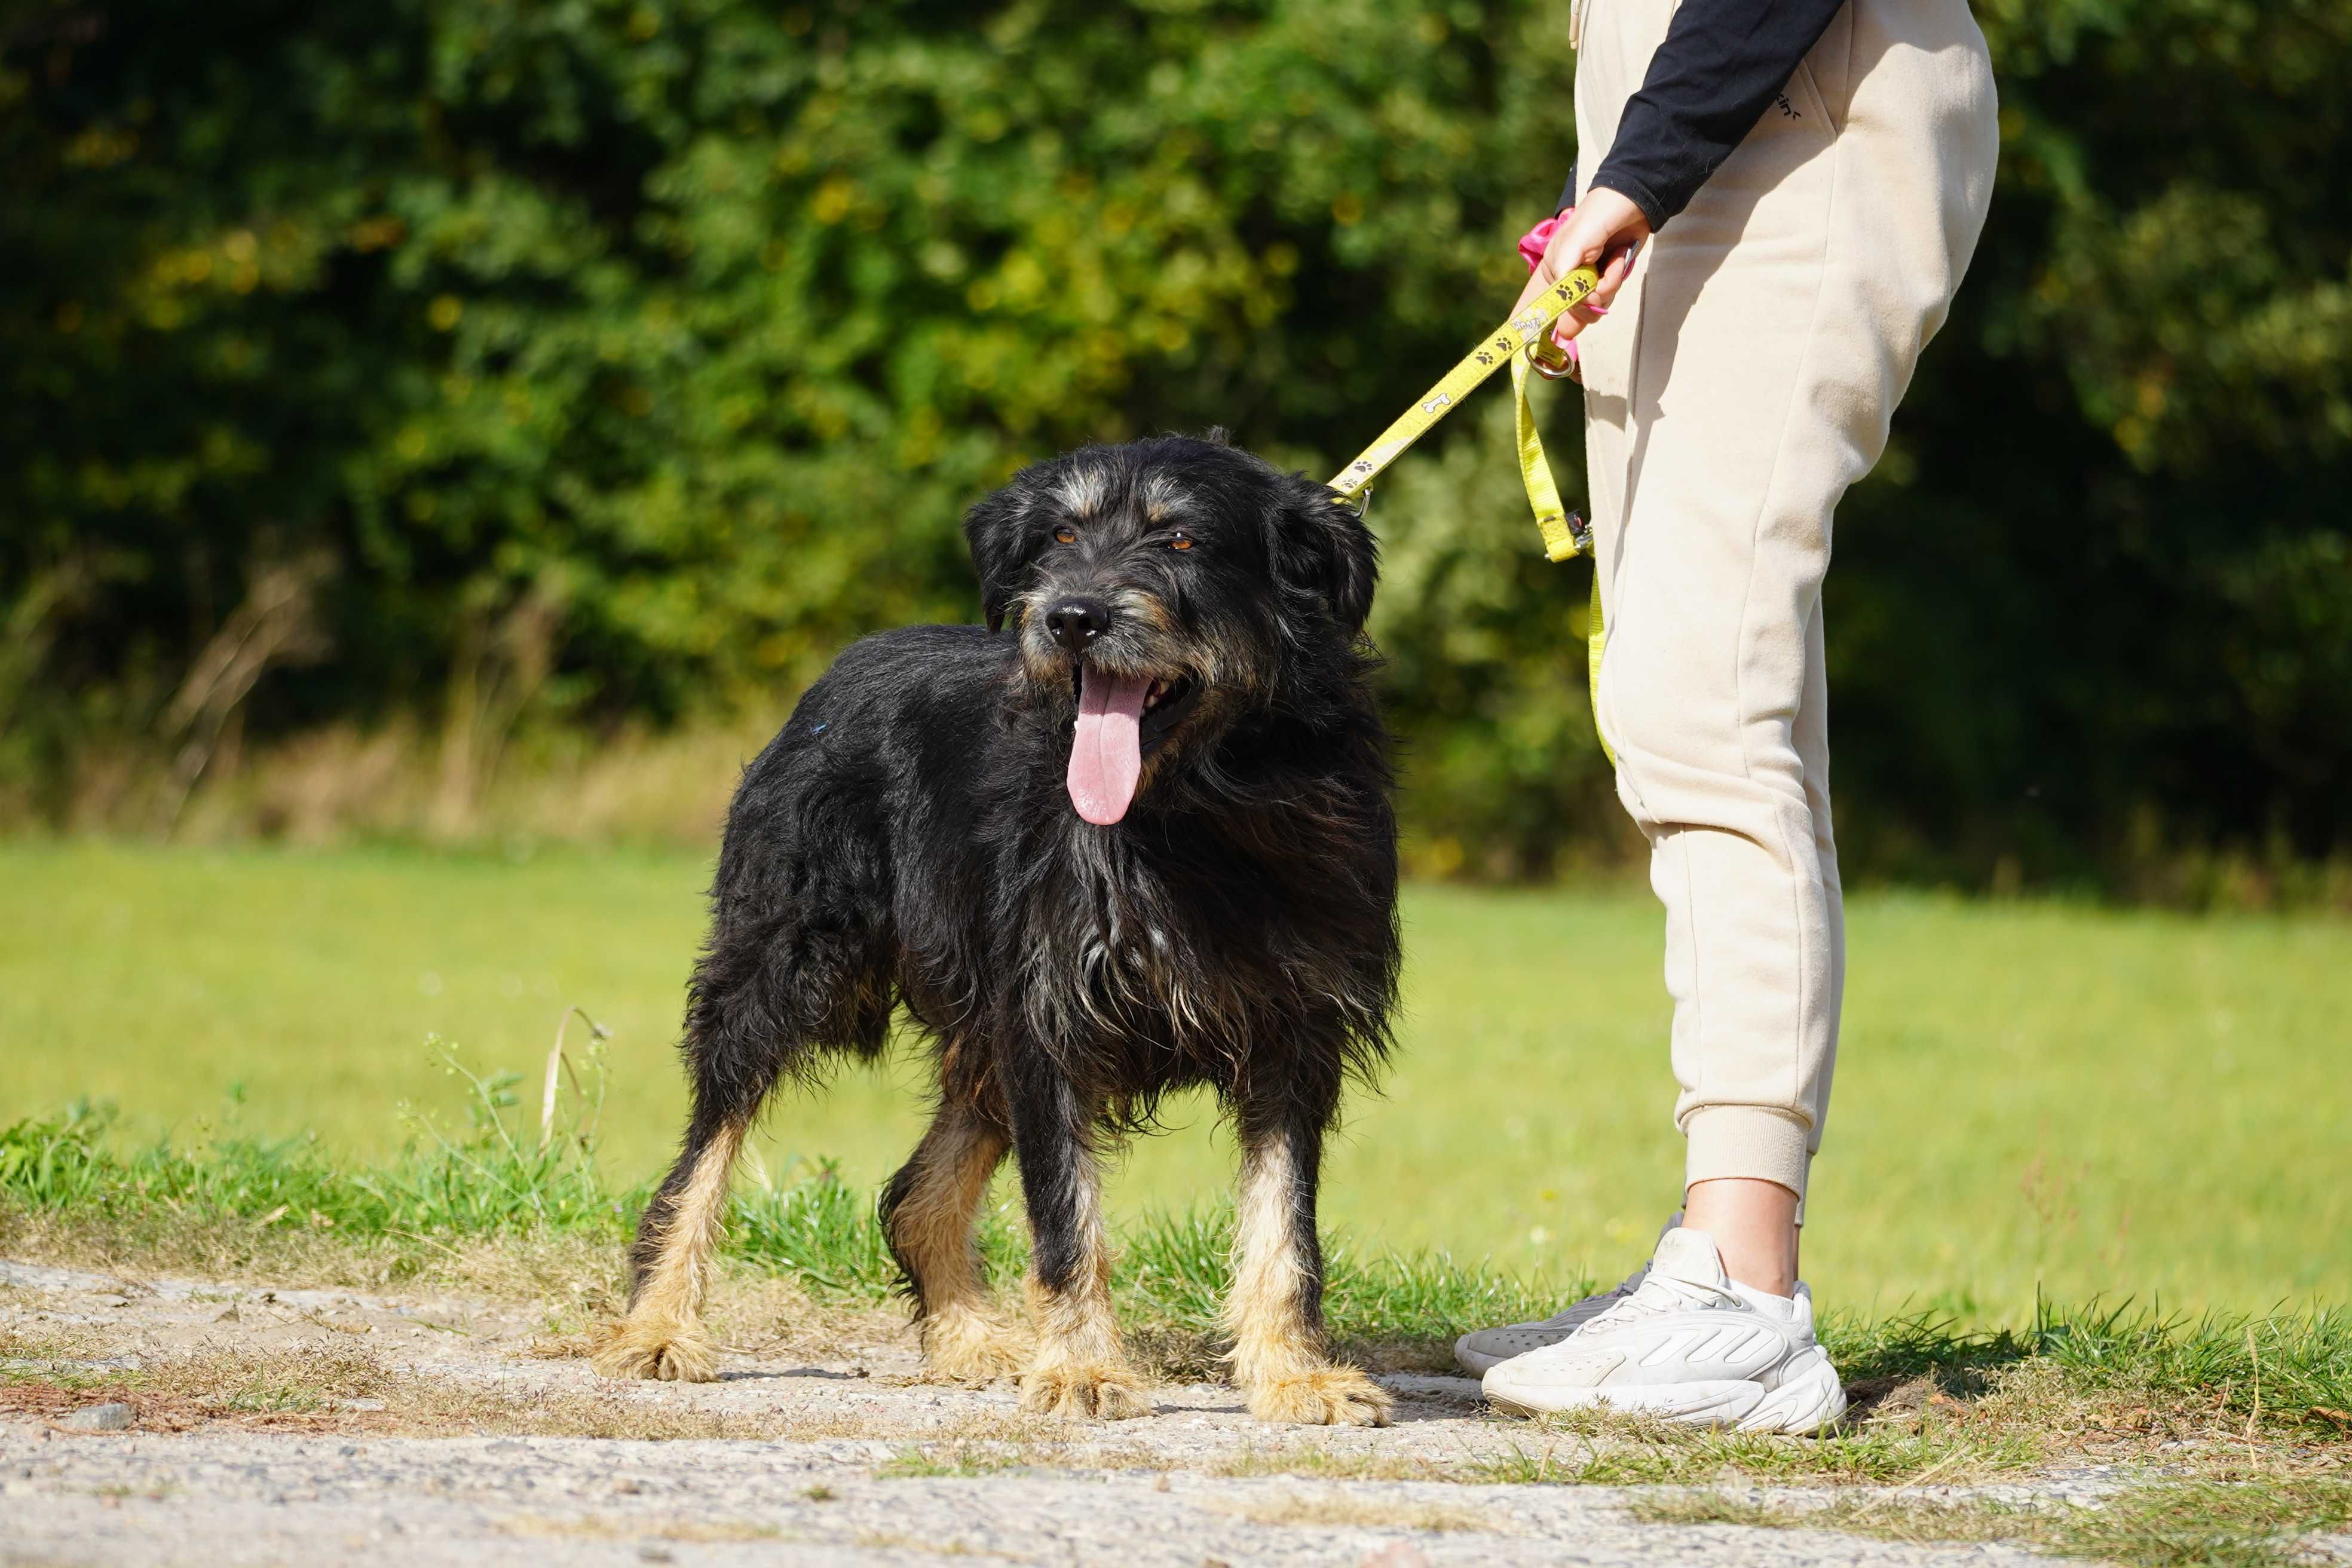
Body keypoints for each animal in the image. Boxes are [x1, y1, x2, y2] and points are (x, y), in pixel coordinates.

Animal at [597, 434, 1392, 1429]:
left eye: (1179, 539)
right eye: (1061, 535)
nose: (1071, 616)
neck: (1196, 810)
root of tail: (839, 671)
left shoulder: (1295, 1032)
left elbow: (1285, 1228)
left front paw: (1290, 1372)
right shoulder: (1048, 1015)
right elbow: (1065, 1214)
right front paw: (1082, 1367)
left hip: (979, 1025)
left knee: (914, 1196)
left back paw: (969, 1338)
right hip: (780, 970)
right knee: (703, 1155)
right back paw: (660, 1323)